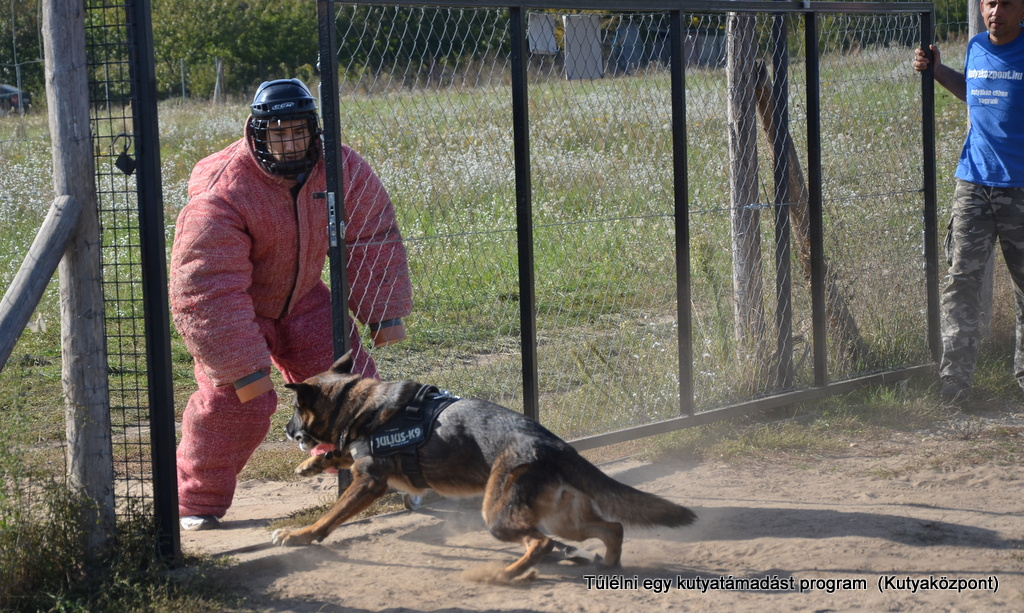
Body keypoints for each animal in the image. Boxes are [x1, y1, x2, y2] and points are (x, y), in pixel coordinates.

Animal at [272, 349, 696, 581]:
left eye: (294, 409)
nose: (287, 431)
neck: (359, 404)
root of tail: (553, 445)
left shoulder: (369, 482)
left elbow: (331, 516)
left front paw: (299, 535)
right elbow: (337, 454)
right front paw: (311, 466)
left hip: (498, 515)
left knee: (542, 542)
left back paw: (506, 575)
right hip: (564, 519)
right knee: (612, 528)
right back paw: (605, 565)